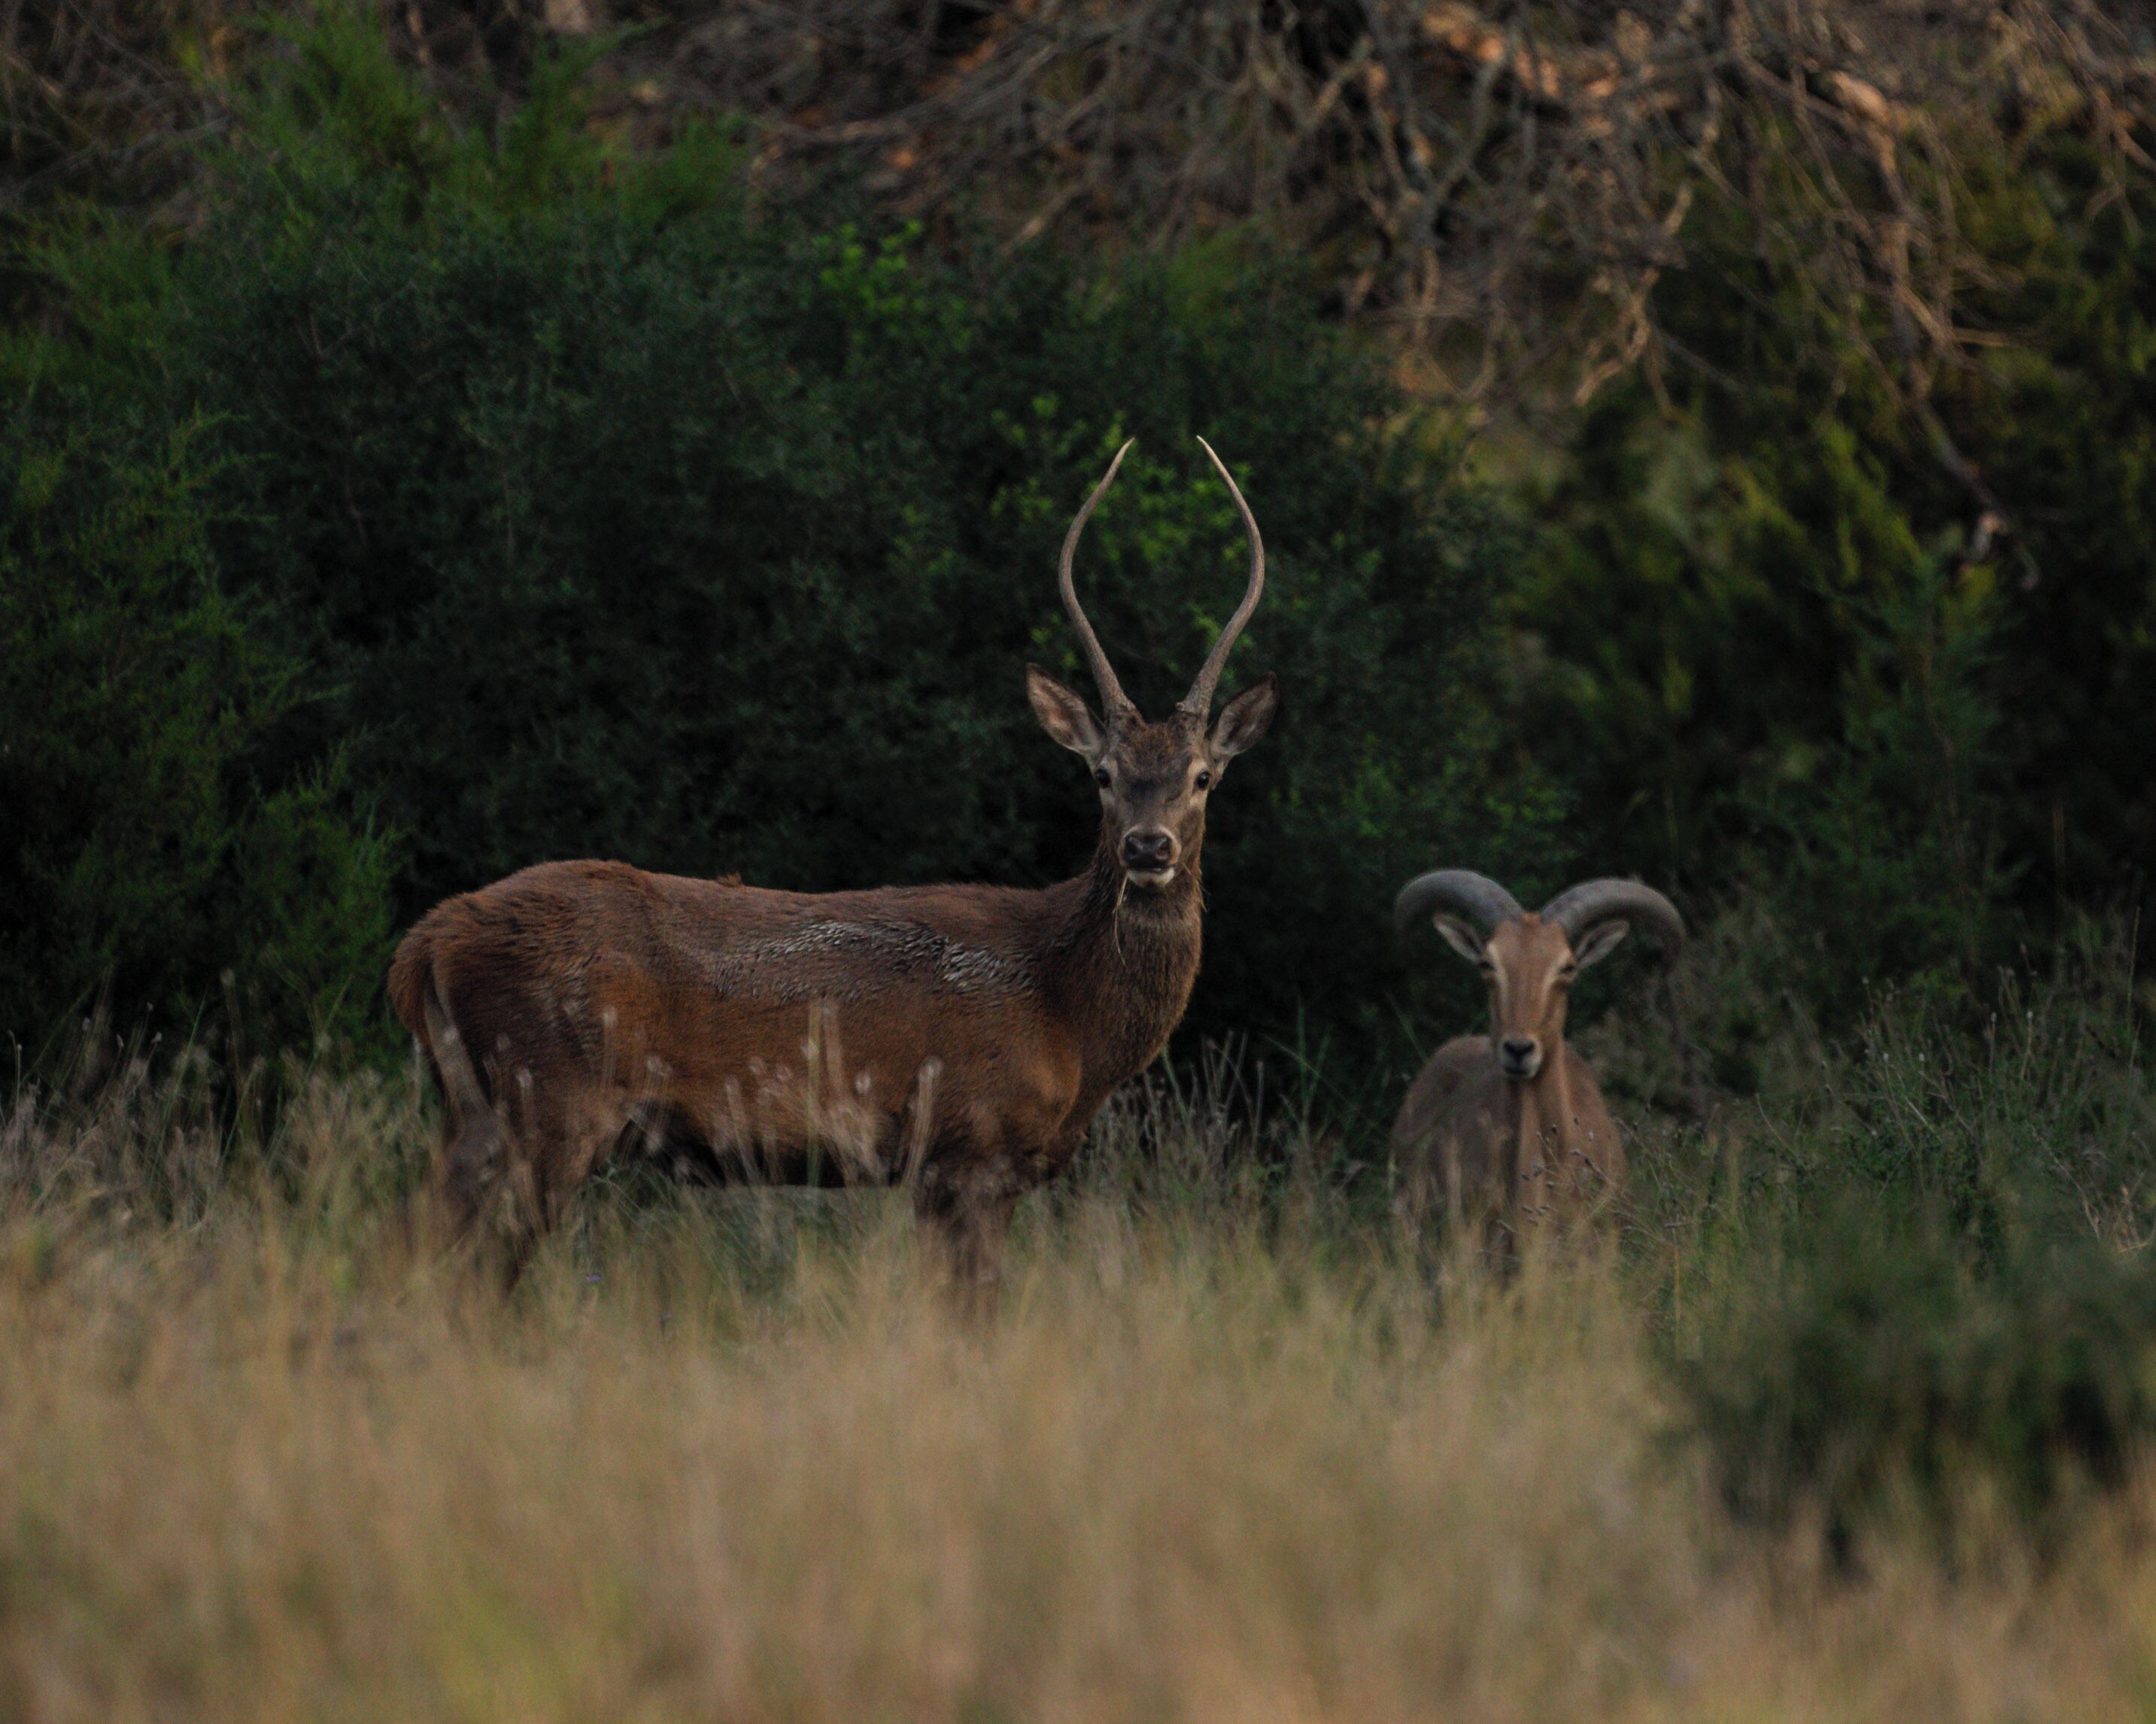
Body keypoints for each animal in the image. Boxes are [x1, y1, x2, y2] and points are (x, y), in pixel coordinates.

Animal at [387, 438, 1277, 1304]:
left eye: (1203, 776)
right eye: (1101, 774)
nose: (1148, 848)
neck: (1070, 1018)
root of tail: (426, 944)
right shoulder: (969, 1147)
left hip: (475, 1110)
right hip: (551, 1093)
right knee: (473, 1271)